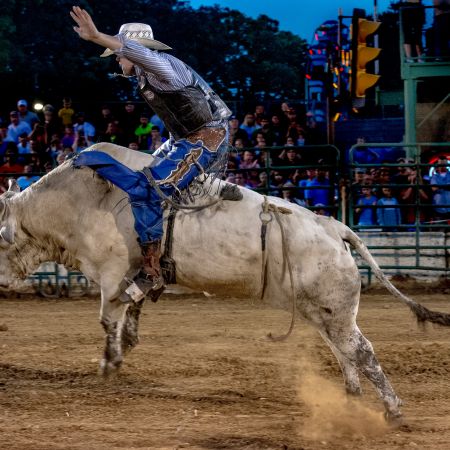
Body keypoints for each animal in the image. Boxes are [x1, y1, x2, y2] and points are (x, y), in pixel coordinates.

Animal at [0, 144, 450, 422]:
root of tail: (334, 225)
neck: (79, 200)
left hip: (334, 310)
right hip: (322, 311)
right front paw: (126, 344)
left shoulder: (111, 274)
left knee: (363, 352)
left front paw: (109, 363)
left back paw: (392, 410)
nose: (2, 280)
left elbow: (109, 320)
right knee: (344, 351)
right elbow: (133, 309)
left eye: (1, 238)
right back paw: (351, 397)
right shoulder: (130, 275)